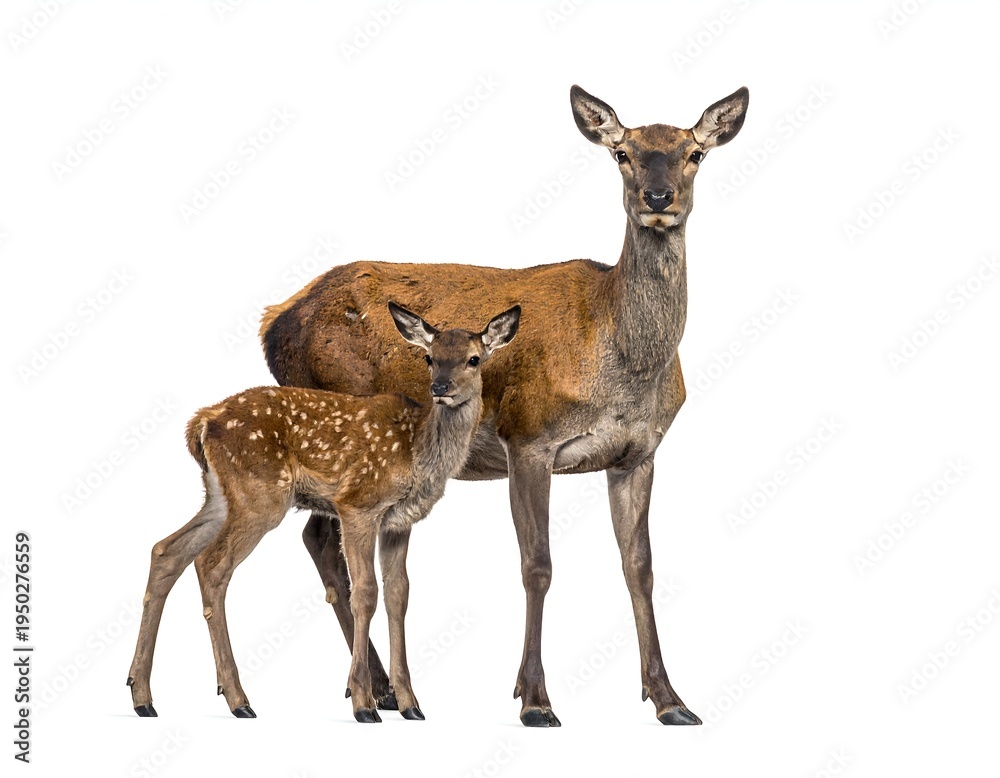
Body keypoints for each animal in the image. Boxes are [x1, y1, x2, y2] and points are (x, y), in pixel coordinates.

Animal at [126, 302, 521, 722]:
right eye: (430, 357)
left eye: (473, 359)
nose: (440, 388)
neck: (418, 450)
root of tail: (201, 422)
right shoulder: (357, 504)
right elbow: (364, 592)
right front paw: (363, 702)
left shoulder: (399, 522)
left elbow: (399, 595)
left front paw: (411, 703)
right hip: (260, 495)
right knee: (211, 565)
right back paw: (238, 699)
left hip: (220, 495)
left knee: (166, 550)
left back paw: (143, 695)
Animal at [259, 85, 749, 726]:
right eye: (622, 153)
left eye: (695, 153)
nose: (659, 198)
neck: (622, 363)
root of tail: (272, 322)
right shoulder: (529, 438)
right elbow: (536, 566)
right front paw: (535, 700)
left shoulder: (637, 453)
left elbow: (640, 568)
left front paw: (670, 700)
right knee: (324, 541)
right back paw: (380, 691)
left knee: (318, 539)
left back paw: (381, 690)